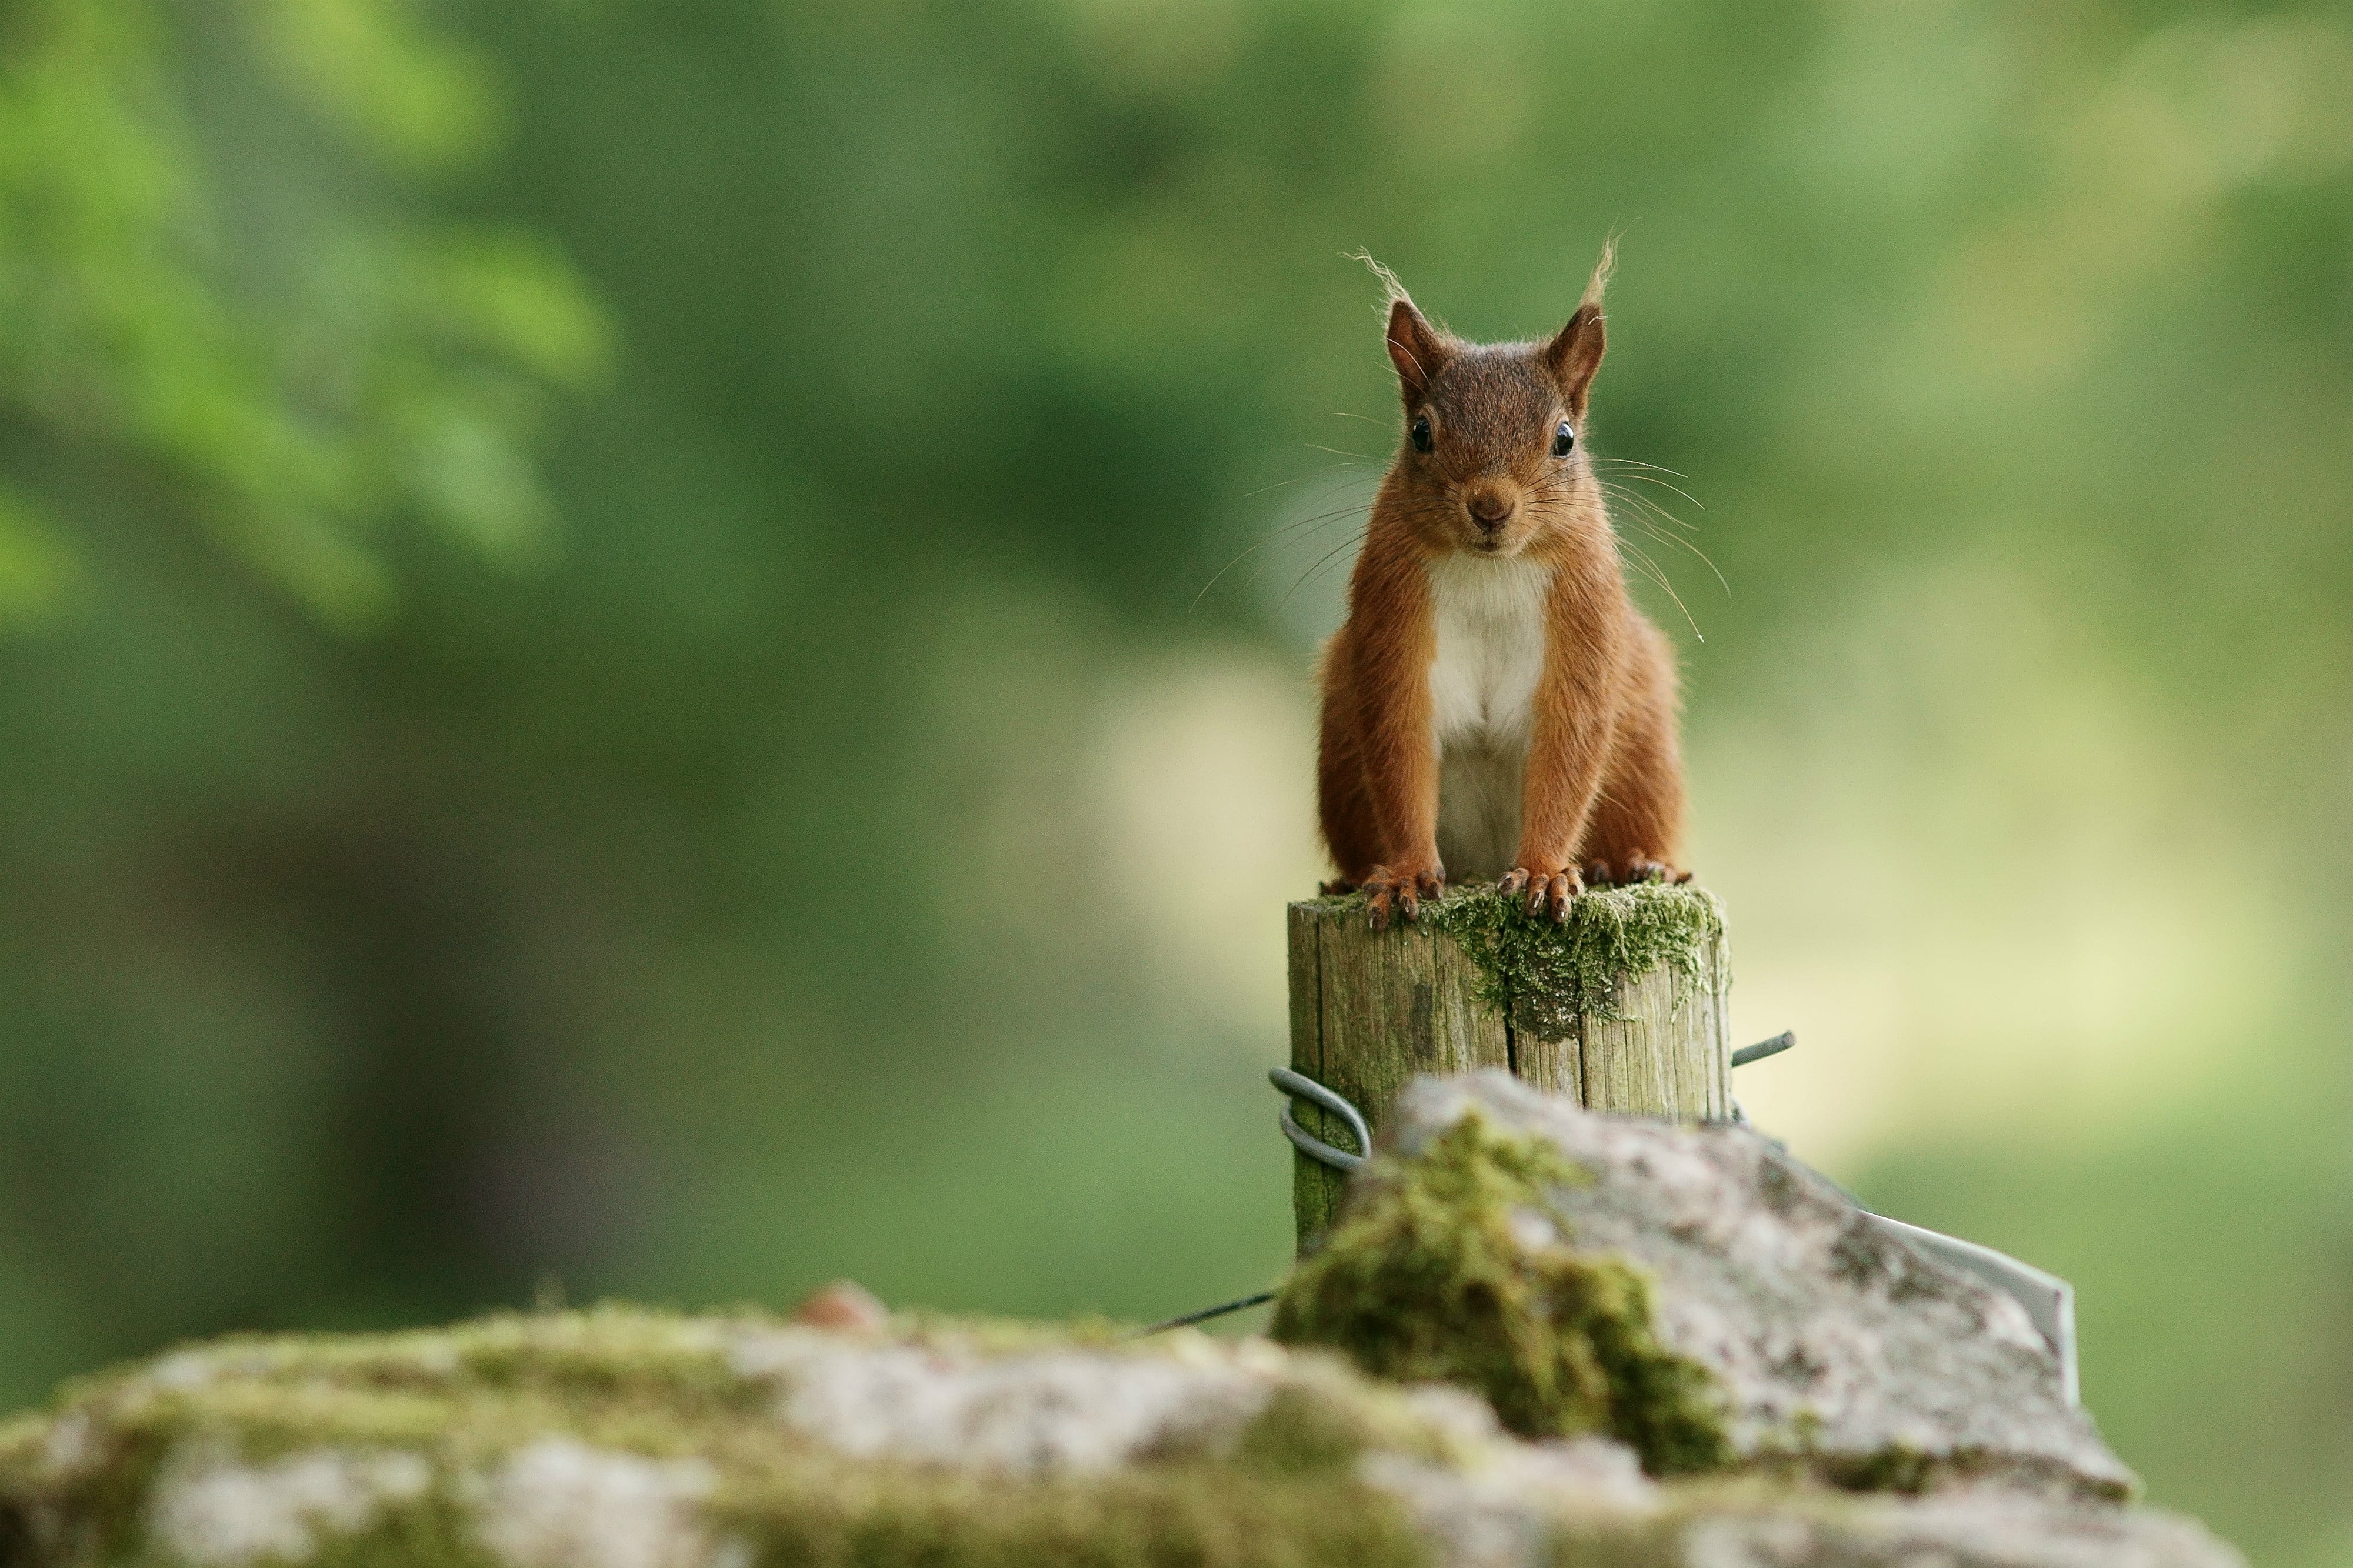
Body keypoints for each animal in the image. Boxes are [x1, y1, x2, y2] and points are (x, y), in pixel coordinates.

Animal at [1317, 247, 1691, 931]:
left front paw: (1544, 872)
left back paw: (1629, 863)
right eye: (1420, 433)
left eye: (1564, 439)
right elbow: (1399, 745)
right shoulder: (1391, 619)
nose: (1490, 507)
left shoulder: (1585, 621)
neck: (1491, 570)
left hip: (1645, 748)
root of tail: (1483, 861)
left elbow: (1568, 749)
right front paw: (1405, 874)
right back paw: (1353, 877)